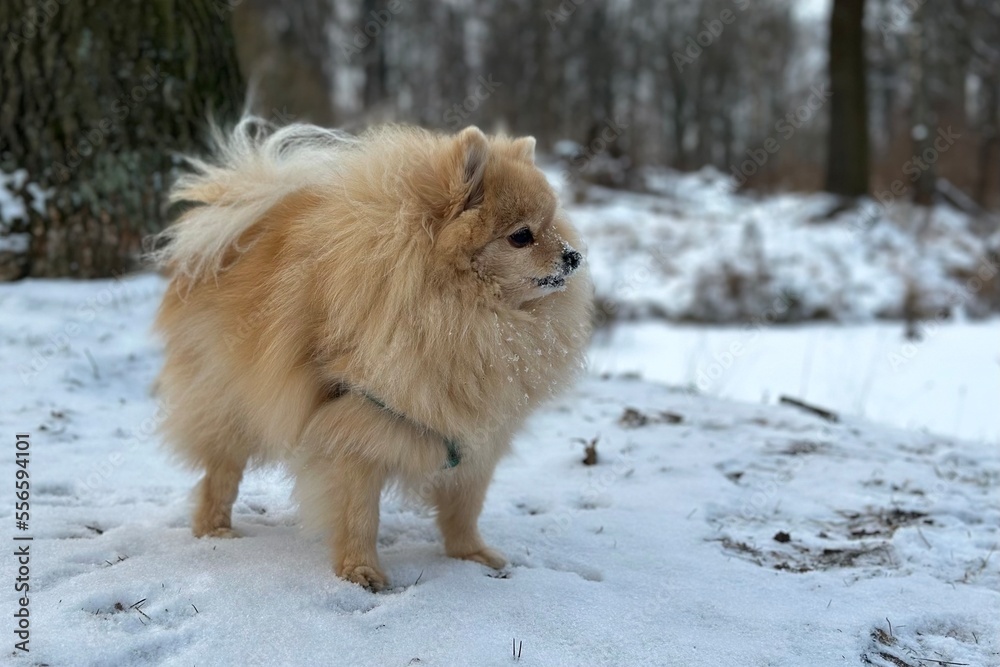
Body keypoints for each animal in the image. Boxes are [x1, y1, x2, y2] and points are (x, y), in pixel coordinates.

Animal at [154, 117, 592, 592]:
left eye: (553, 226)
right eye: (521, 237)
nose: (573, 256)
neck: (468, 313)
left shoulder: (473, 434)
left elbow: (465, 506)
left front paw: (470, 554)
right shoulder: (353, 431)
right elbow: (360, 515)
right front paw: (360, 571)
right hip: (226, 401)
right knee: (221, 472)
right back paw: (214, 528)